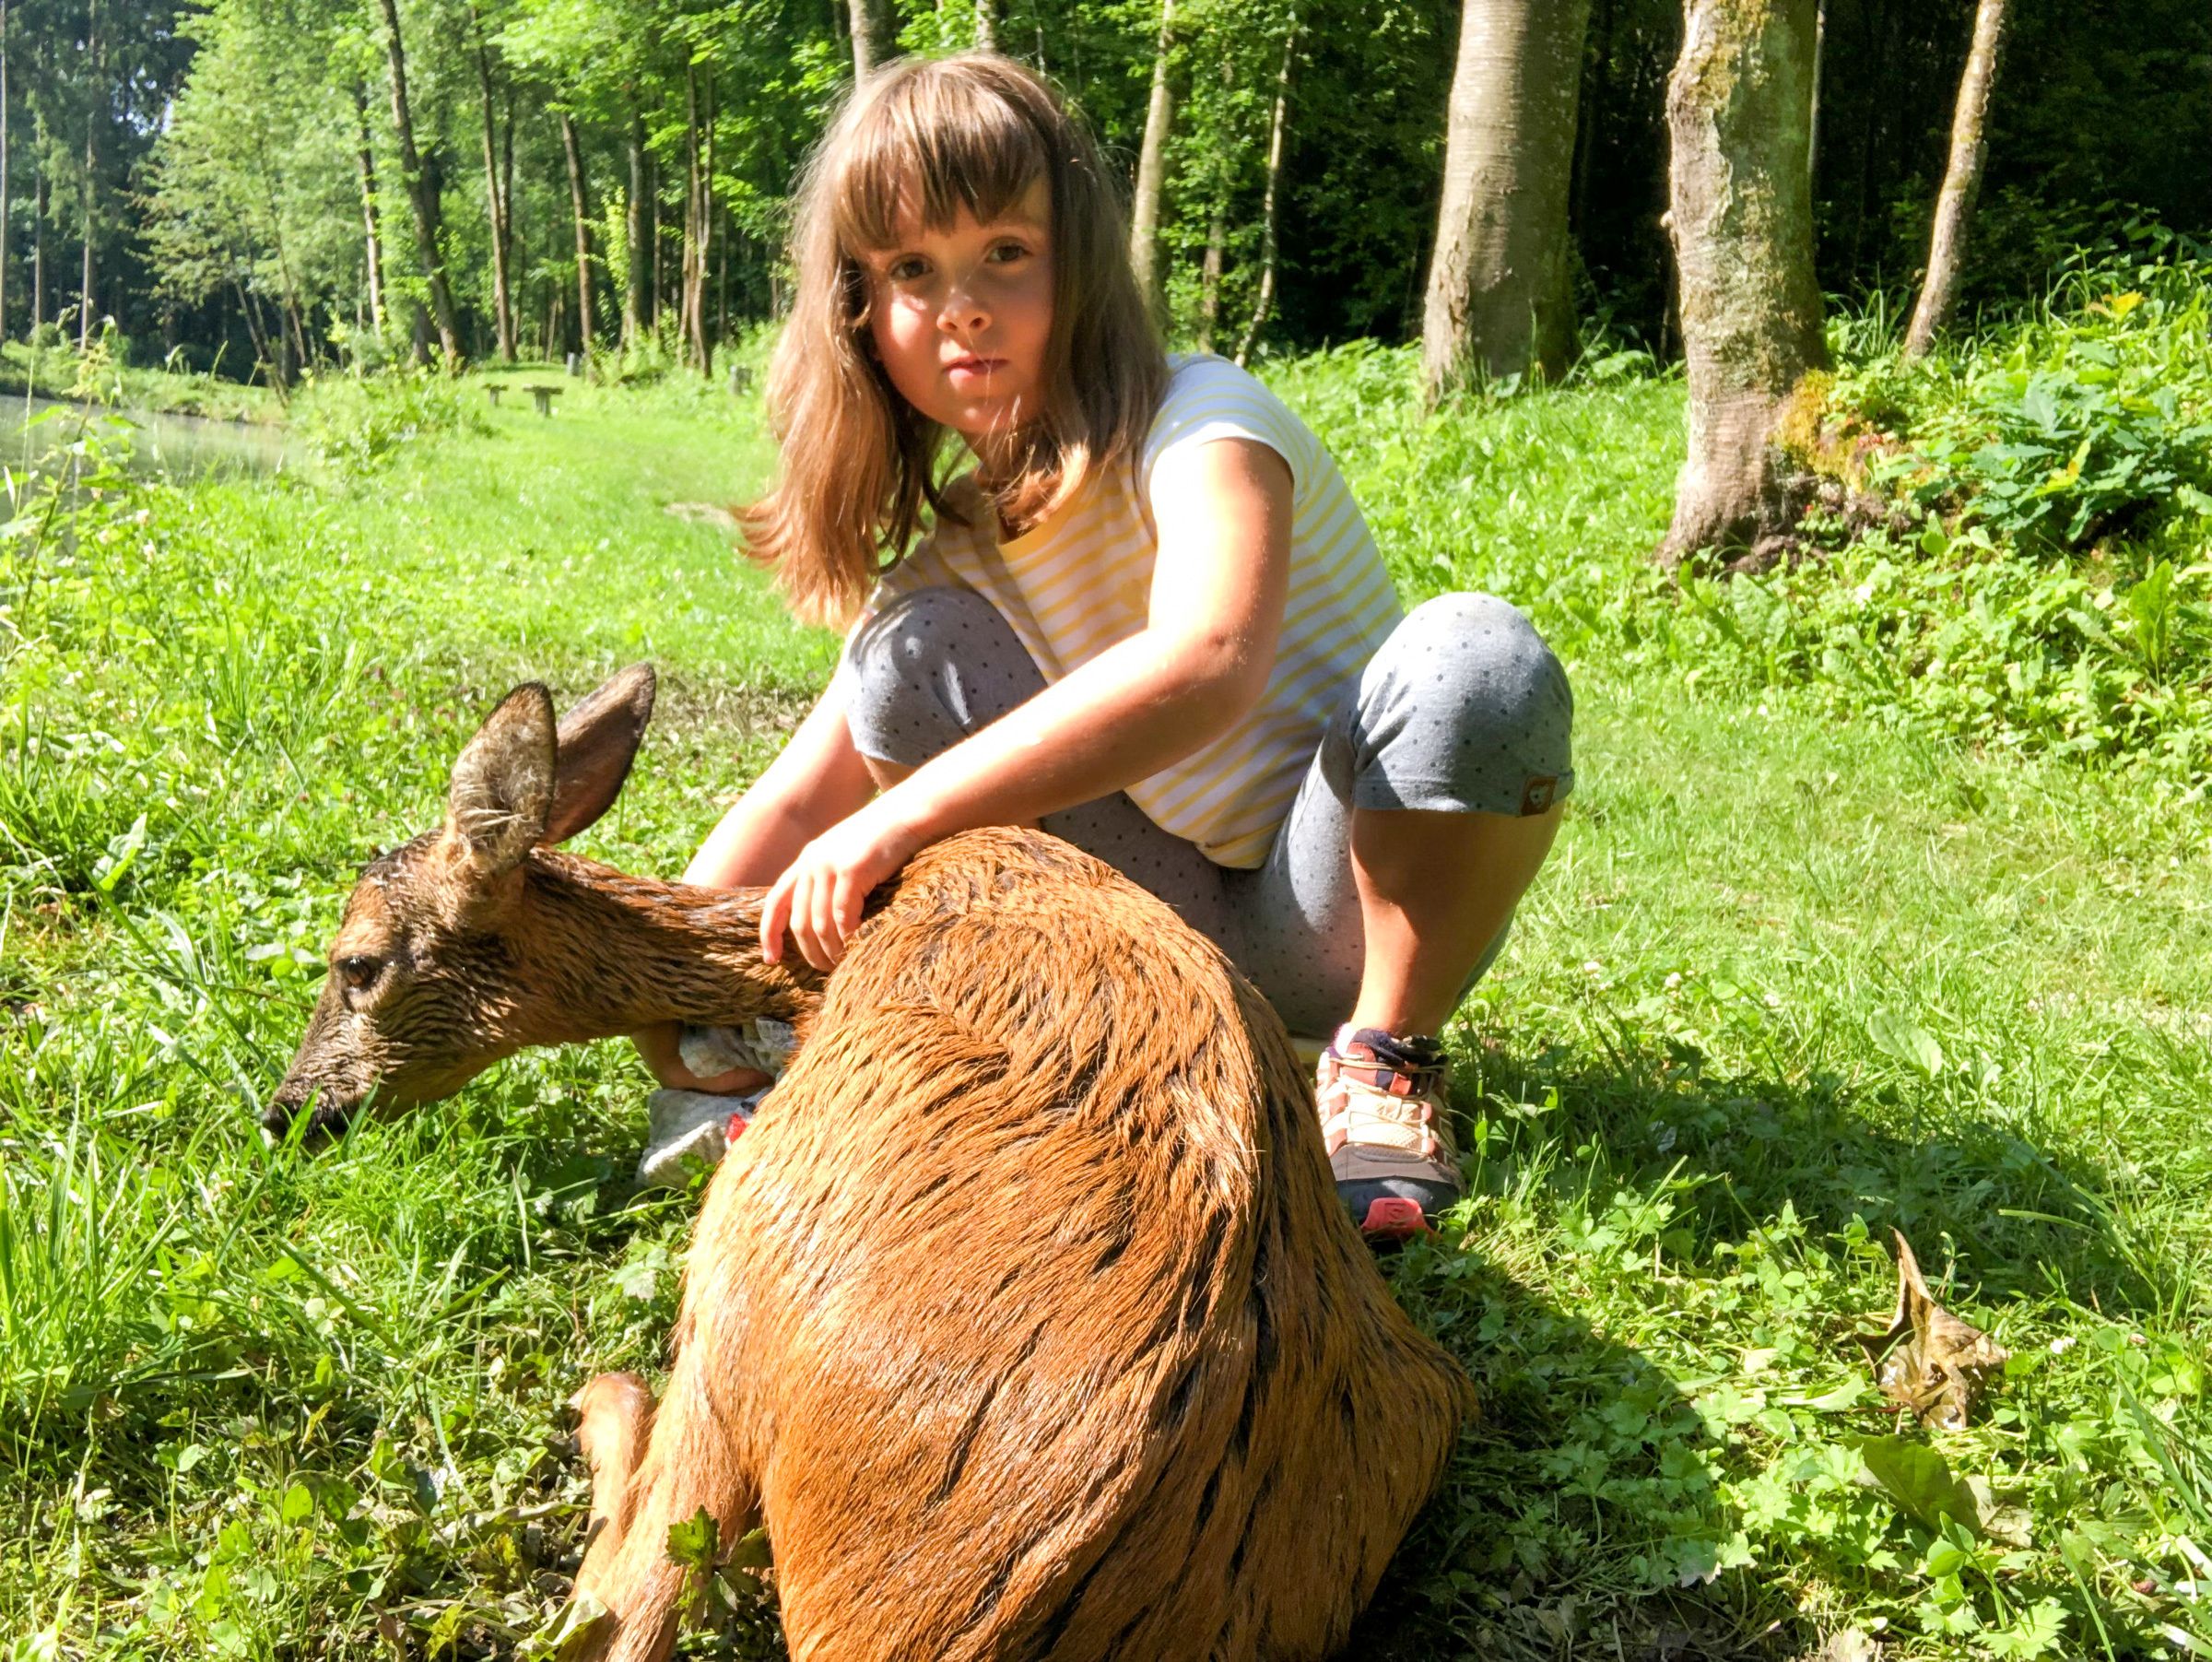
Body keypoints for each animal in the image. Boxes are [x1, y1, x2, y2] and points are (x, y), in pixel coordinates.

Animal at [269, 665, 1475, 1662]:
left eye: (357, 963)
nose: (290, 1114)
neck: (819, 957)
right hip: (1415, 1401)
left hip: (747, 1257)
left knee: (623, 1601)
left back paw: (606, 1401)